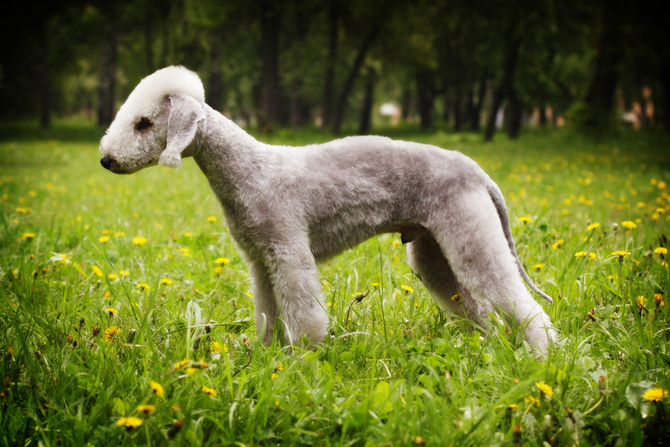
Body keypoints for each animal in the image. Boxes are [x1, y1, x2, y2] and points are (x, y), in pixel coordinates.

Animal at [100, 66, 556, 354]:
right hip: (432, 251)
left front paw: (305, 357)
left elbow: (303, 314)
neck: (249, 170)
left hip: (470, 235)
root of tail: (478, 172)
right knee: (477, 306)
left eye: (143, 123)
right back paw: (491, 346)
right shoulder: (260, 260)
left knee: (520, 303)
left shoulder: (288, 253)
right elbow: (267, 313)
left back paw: (544, 356)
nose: (106, 160)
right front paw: (266, 355)